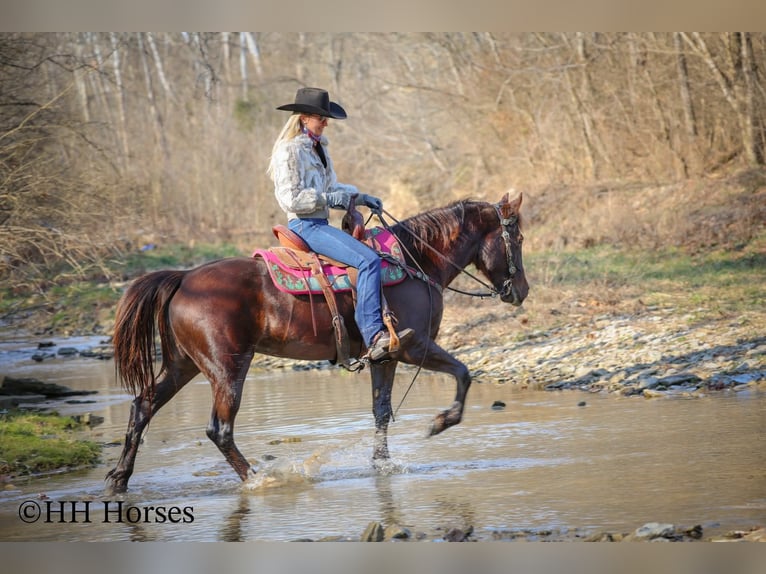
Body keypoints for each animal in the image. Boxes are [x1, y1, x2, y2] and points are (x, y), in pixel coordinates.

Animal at [105, 193, 528, 493]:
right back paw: (259, 478)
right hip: (227, 368)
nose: (521, 291)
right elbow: (463, 372)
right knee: (219, 429)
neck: (415, 262)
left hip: (183, 364)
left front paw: (382, 466)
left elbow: (380, 412)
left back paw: (120, 479)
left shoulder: (385, 357)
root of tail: (184, 278)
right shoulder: (414, 346)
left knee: (143, 406)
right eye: (518, 238)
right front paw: (441, 422)